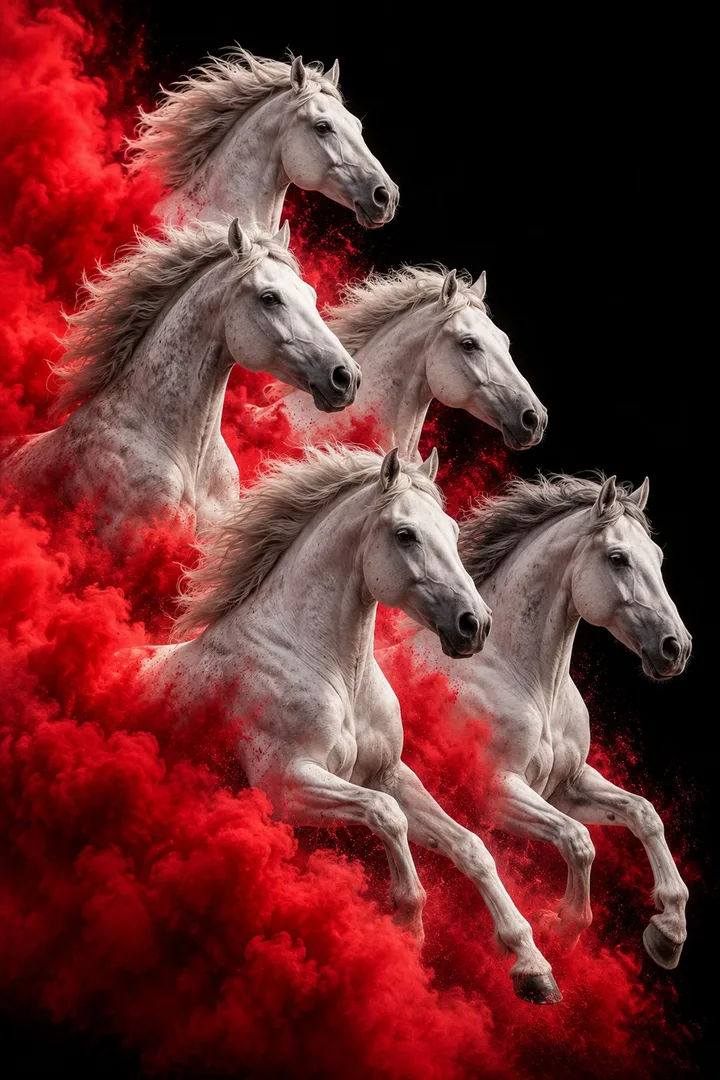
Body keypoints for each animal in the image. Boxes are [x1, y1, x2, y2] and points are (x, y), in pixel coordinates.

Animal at [130, 445, 561, 1005]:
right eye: (405, 534)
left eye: (451, 528)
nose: (475, 625)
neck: (335, 669)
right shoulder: (285, 785)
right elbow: (387, 816)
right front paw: (409, 928)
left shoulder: (390, 774)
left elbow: (470, 845)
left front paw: (534, 968)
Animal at [384, 474, 692, 968]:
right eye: (617, 557)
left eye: (658, 557)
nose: (674, 648)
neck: (530, 684)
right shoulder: (498, 792)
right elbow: (578, 841)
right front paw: (562, 928)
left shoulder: (567, 785)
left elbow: (644, 814)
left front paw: (668, 932)